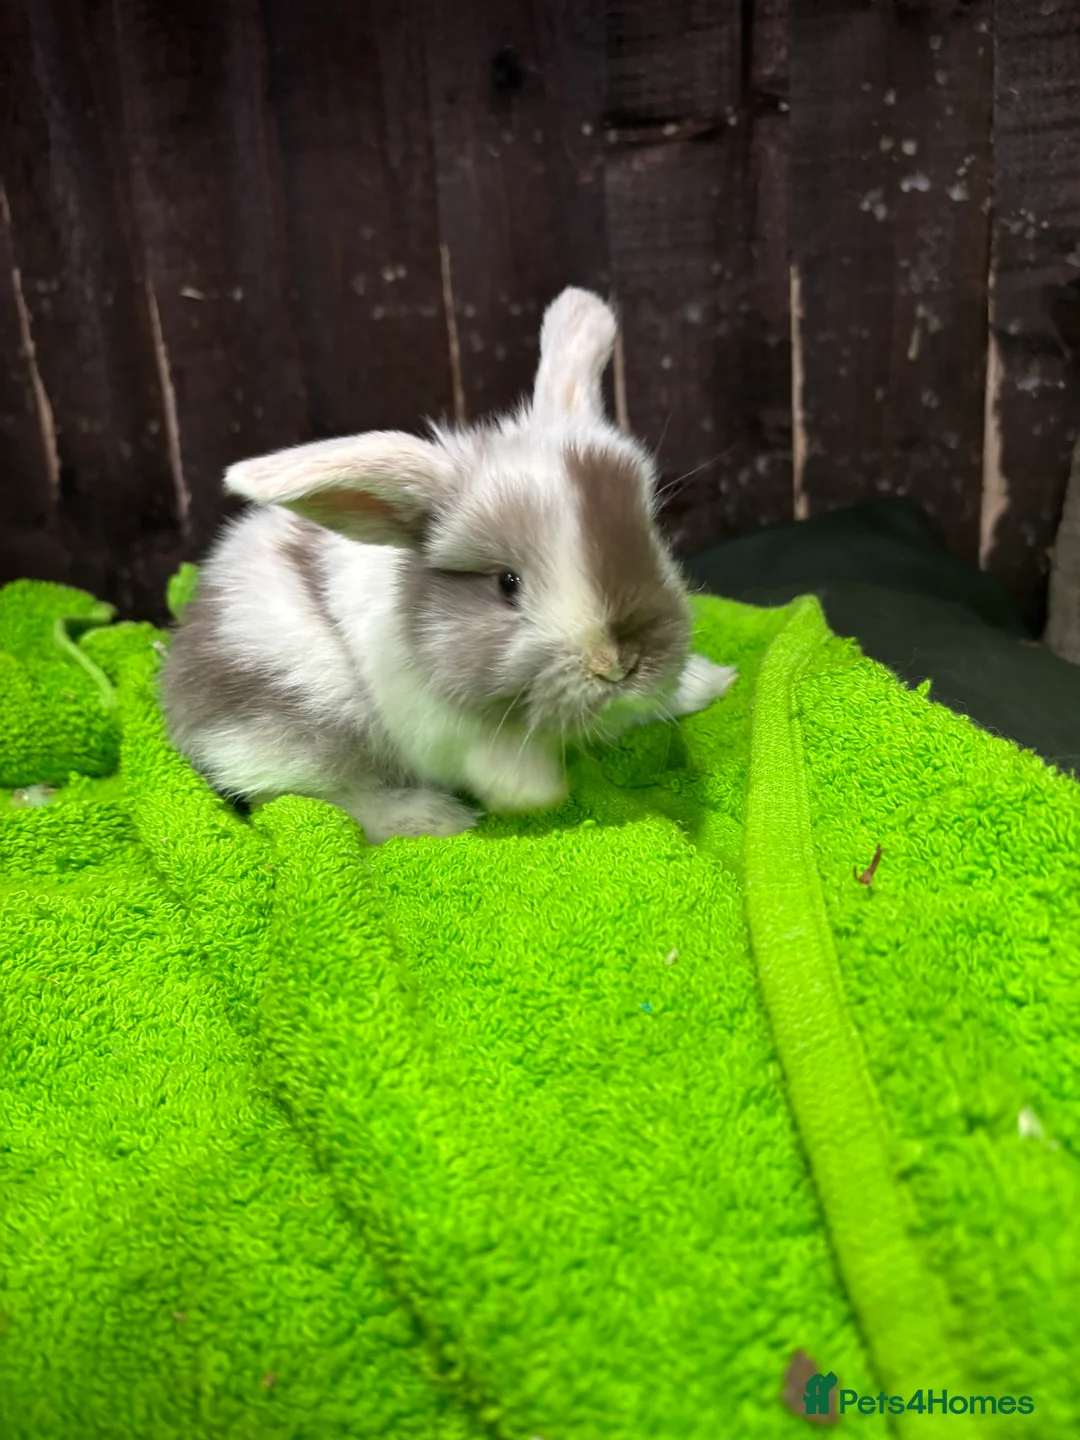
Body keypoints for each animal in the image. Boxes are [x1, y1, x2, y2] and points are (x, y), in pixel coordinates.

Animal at [159, 287, 738, 843]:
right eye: (507, 584)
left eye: (649, 538)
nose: (617, 665)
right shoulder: (441, 728)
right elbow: (500, 764)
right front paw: (538, 793)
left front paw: (711, 683)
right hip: (304, 724)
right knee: (308, 800)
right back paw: (431, 818)